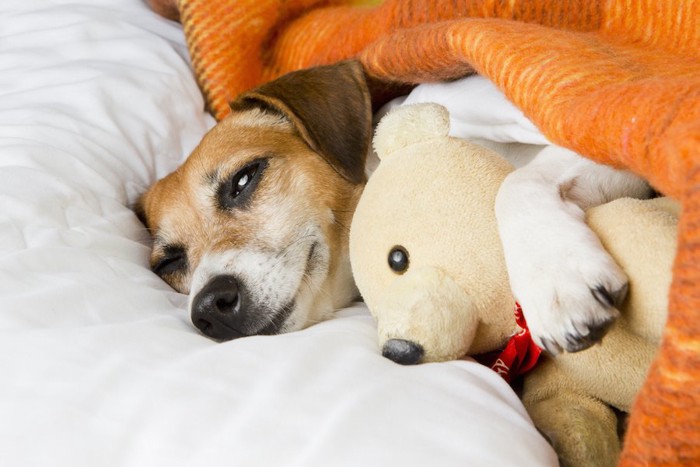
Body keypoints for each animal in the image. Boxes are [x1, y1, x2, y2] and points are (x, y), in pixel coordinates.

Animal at [137, 59, 652, 354]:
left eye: (243, 179)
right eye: (170, 262)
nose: (209, 307)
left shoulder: (612, 148)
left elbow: (517, 182)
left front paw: (558, 282)